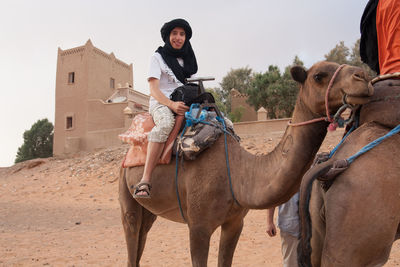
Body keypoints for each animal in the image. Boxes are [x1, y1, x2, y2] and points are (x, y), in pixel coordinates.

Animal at [118, 61, 372, 267]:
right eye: (319, 76)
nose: (363, 77)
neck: (239, 173)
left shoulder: (235, 223)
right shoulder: (198, 226)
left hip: (149, 211)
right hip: (126, 193)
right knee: (131, 239)